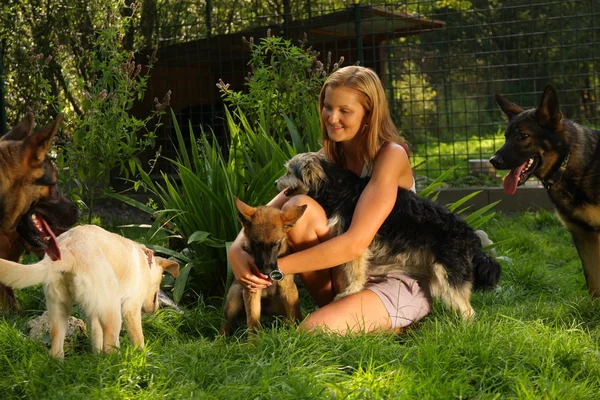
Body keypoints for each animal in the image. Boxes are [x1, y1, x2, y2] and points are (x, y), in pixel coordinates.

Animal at [0, 223, 180, 358]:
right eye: (160, 283)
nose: (155, 309)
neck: (145, 260)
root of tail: (68, 250)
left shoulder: (93, 314)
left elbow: (96, 338)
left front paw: (96, 357)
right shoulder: (131, 309)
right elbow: (138, 338)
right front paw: (143, 356)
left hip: (59, 310)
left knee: (56, 348)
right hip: (113, 312)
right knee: (110, 344)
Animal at [221, 198, 304, 334]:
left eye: (276, 244)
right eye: (256, 244)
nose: (266, 272)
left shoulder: (289, 289)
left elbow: (295, 315)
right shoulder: (251, 292)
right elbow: (253, 321)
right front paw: (255, 341)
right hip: (235, 298)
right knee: (225, 324)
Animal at [276, 152, 502, 320]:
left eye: (288, 171)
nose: (276, 182)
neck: (333, 185)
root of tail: (472, 237)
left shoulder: (357, 243)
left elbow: (354, 272)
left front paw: (351, 291)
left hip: (448, 271)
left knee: (468, 310)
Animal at [490, 84, 600, 296]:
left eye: (523, 136)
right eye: (506, 136)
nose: (493, 161)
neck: (567, 163)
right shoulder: (583, 236)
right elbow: (593, 284)